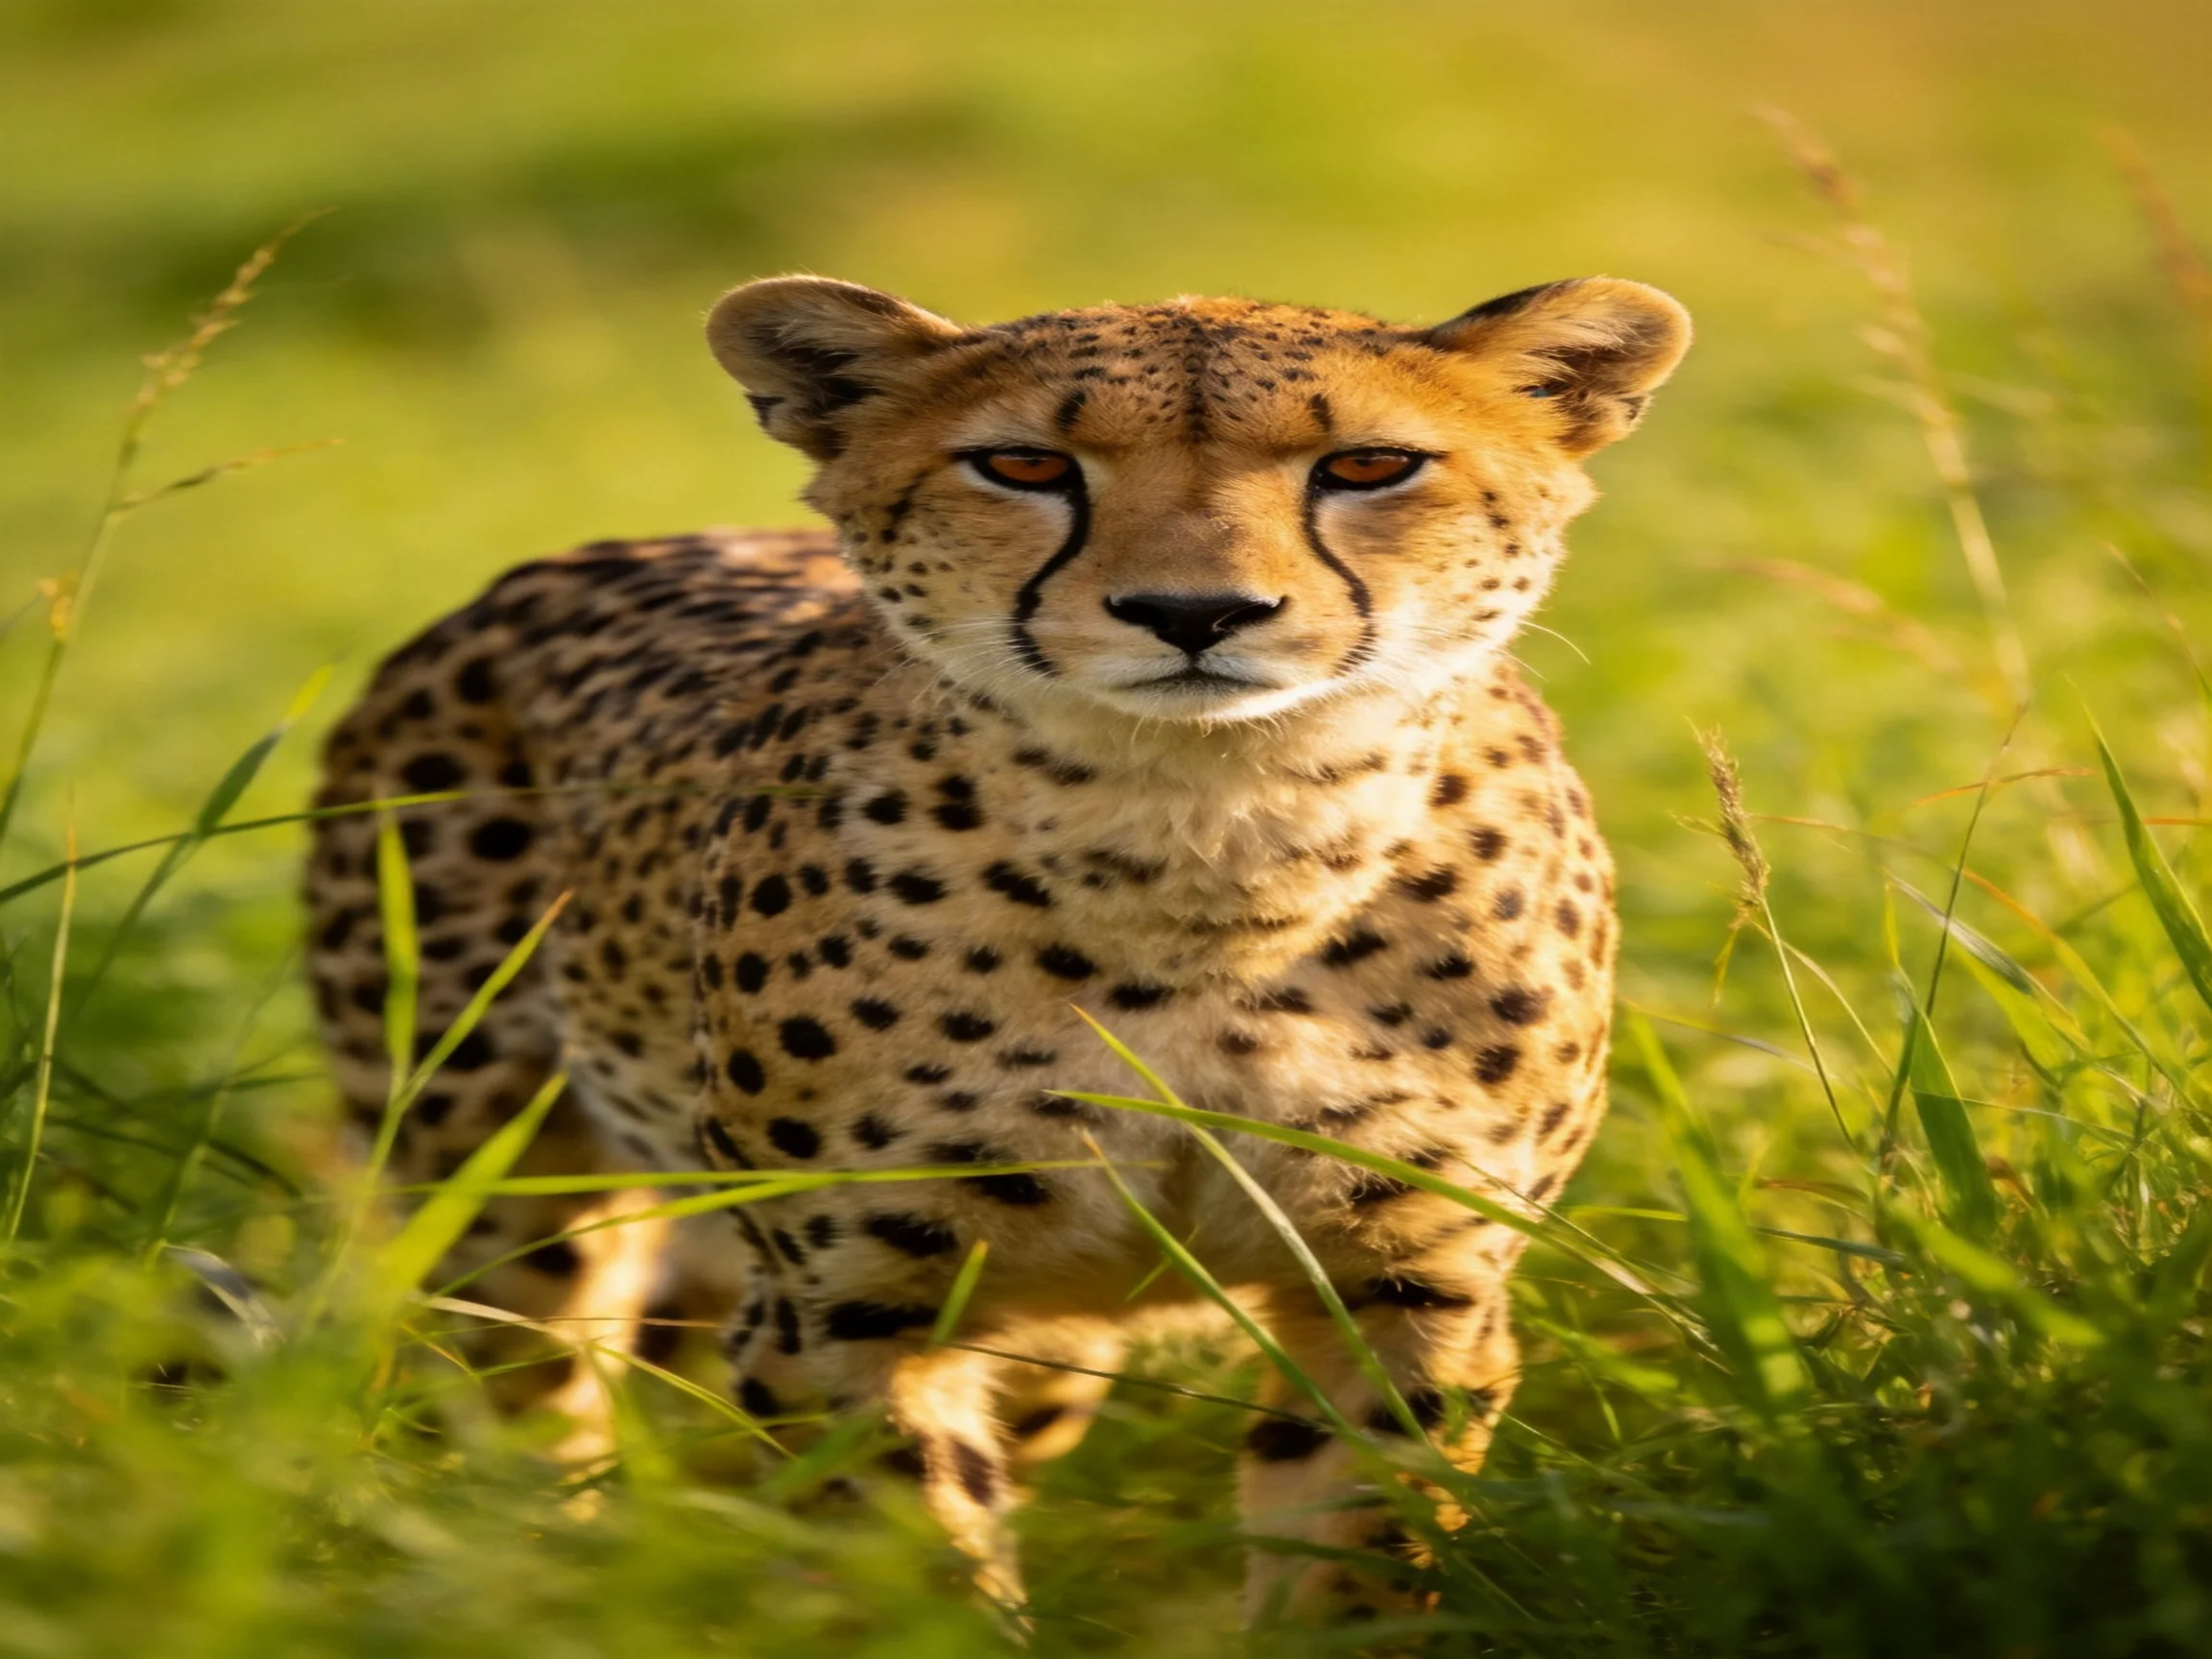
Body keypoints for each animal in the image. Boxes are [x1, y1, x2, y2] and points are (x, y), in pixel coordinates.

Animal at [304, 271, 1690, 1623]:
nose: (1194, 612)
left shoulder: (1409, 1285)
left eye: (1367, 465)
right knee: (522, 1399)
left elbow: (1357, 1568)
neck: (1210, 849)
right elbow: (910, 1567)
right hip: (495, 1187)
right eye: (1024, 466)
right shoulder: (848, 1307)